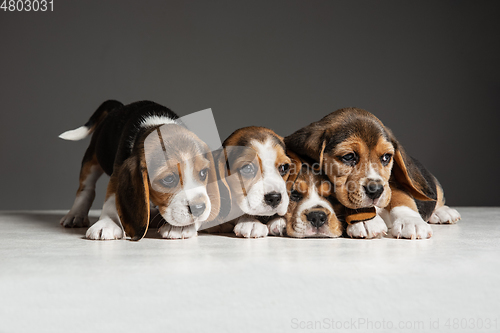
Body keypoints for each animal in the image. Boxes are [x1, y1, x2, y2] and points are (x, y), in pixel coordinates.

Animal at [58, 100, 221, 240]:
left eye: (203, 173)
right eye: (168, 179)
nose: (199, 208)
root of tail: (119, 107)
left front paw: (182, 226)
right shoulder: (118, 171)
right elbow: (111, 198)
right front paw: (108, 223)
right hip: (93, 157)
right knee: (86, 188)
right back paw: (76, 214)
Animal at [286, 106, 460, 239]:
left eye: (386, 157)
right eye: (348, 157)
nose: (376, 191)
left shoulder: (391, 184)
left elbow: (401, 197)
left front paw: (411, 222)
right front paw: (365, 220)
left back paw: (443, 213)